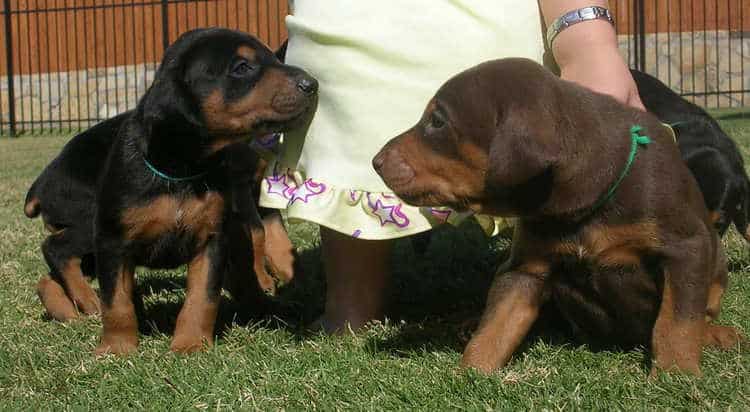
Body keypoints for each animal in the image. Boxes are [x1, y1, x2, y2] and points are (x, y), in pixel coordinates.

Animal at [24, 27, 318, 354]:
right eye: (242, 67)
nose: (312, 84)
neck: (182, 171)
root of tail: (41, 182)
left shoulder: (217, 234)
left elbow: (205, 294)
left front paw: (191, 344)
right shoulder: (114, 242)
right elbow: (117, 301)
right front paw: (117, 349)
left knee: (48, 277)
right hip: (88, 221)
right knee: (56, 249)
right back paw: (88, 301)